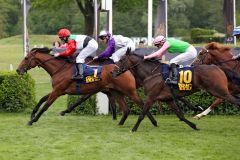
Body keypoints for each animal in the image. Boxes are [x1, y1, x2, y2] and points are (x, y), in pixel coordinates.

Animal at [16, 47, 158, 126]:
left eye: (26, 58)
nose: (18, 70)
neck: (60, 69)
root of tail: (125, 69)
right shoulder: (59, 91)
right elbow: (42, 99)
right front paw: (32, 114)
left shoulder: (58, 91)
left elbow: (46, 105)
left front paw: (32, 120)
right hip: (116, 92)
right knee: (126, 109)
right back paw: (120, 123)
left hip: (129, 91)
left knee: (142, 103)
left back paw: (153, 122)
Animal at [112, 48, 240, 131]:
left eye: (122, 59)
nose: (112, 72)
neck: (151, 73)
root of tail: (219, 68)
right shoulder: (168, 99)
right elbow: (180, 116)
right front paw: (194, 126)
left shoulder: (151, 97)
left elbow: (142, 113)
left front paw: (134, 129)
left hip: (219, 91)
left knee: (235, 101)